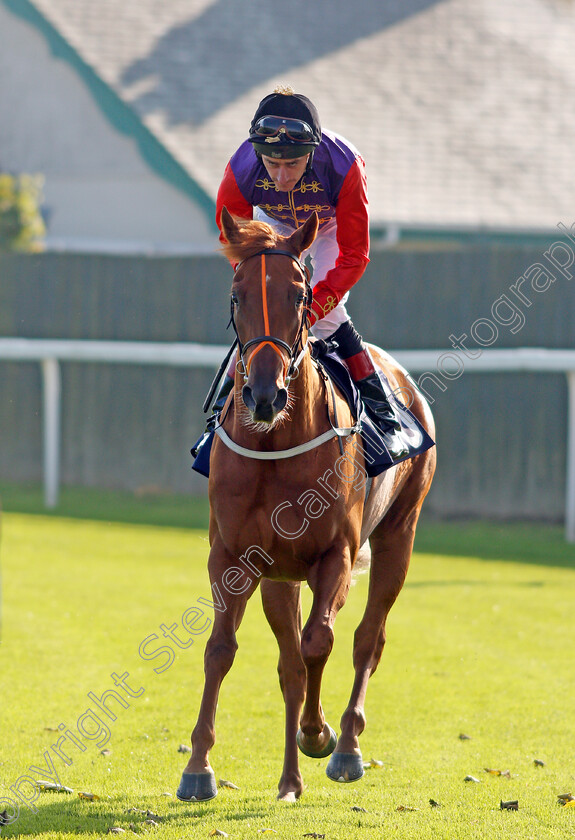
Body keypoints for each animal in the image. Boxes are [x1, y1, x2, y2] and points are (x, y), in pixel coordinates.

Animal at [178, 208, 434, 800]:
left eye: (298, 294)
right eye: (236, 294)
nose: (264, 394)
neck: (275, 442)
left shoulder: (334, 555)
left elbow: (321, 642)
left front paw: (317, 734)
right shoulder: (233, 556)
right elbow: (223, 650)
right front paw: (198, 767)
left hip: (398, 535)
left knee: (366, 639)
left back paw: (344, 746)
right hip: (280, 576)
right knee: (291, 662)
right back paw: (290, 779)